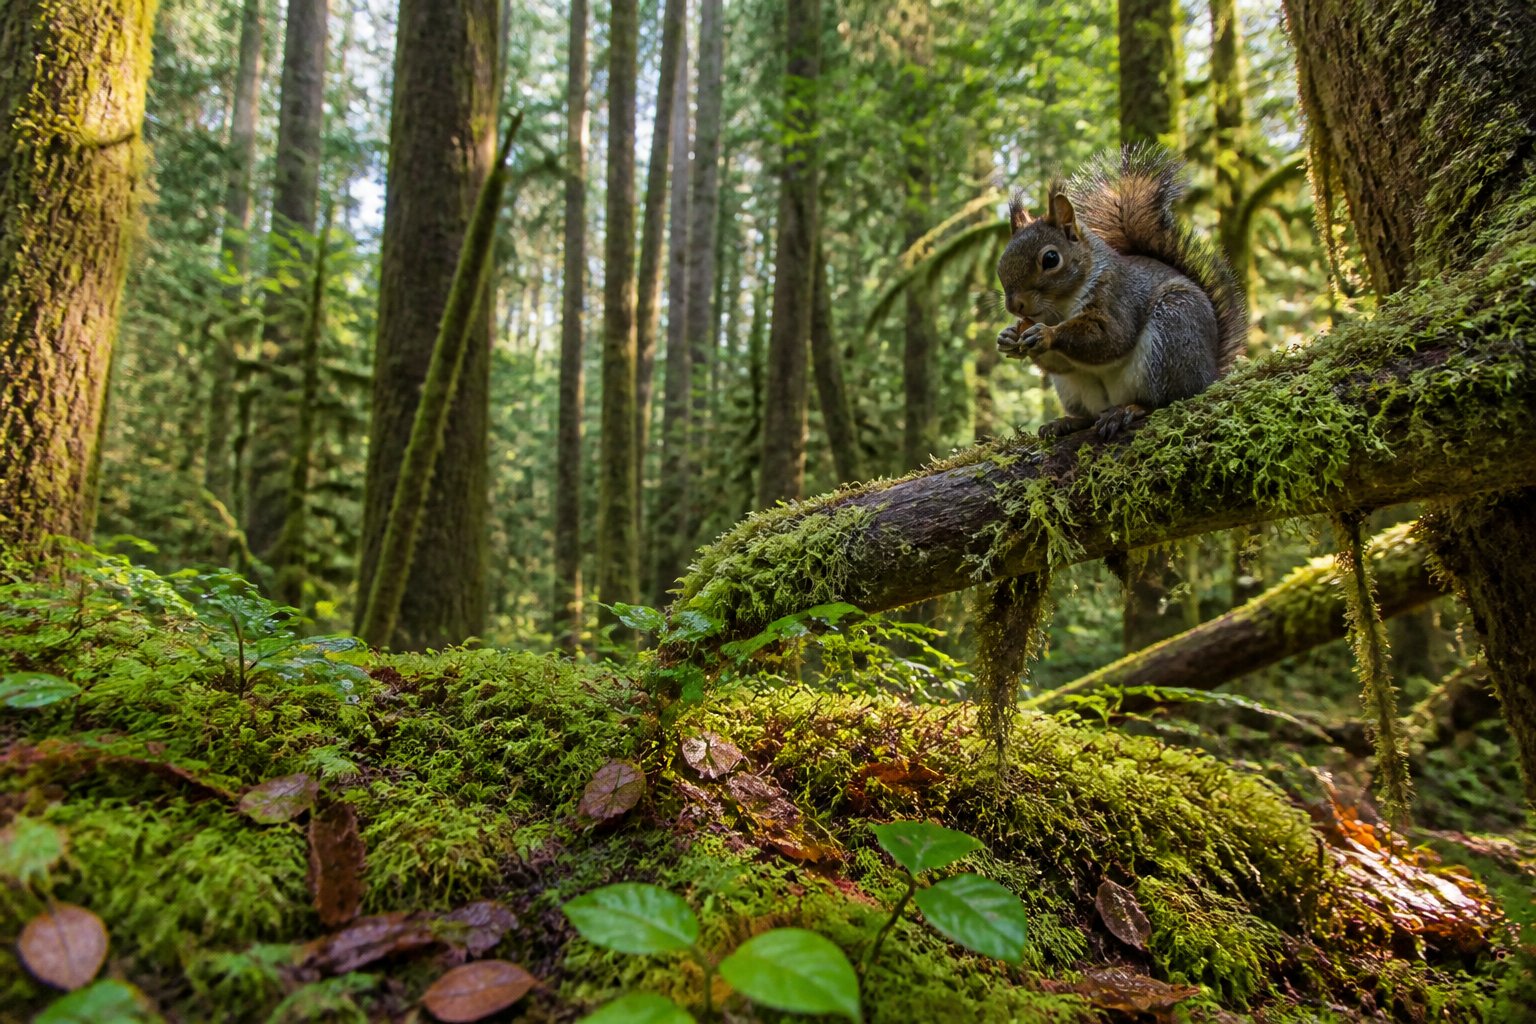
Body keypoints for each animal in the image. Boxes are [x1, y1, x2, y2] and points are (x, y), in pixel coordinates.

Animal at [995, 145, 1248, 440]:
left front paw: (1047, 335)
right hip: (1074, 389)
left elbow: (1111, 336)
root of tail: (1209, 374)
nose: (1015, 306)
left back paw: (1129, 409)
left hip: (1172, 334)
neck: (1060, 307)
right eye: (1001, 262)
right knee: (1089, 414)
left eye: (1050, 259)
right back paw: (1067, 422)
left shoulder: (1119, 296)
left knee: (1166, 399)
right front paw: (1008, 336)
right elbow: (1062, 362)